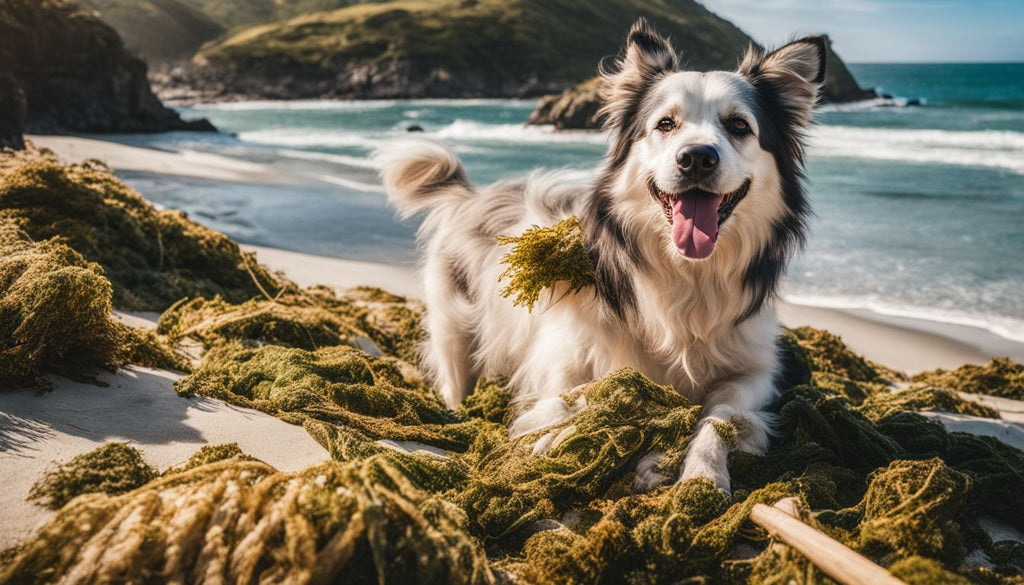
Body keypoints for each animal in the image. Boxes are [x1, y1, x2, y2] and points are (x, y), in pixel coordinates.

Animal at [380, 18, 827, 491]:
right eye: (665, 124)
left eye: (739, 126)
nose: (697, 157)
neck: (686, 271)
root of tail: (473, 194)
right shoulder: (565, 351)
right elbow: (586, 392)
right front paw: (558, 433)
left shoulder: (754, 370)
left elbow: (718, 415)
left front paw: (700, 472)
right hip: (454, 330)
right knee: (455, 374)